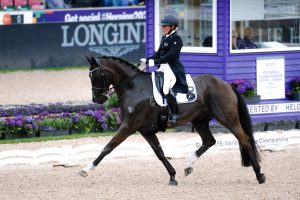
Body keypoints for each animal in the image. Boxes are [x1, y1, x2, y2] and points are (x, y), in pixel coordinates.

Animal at [79, 55, 264, 185]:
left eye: (97, 76)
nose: (97, 99)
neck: (133, 87)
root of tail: (226, 84)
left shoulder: (129, 126)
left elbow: (107, 148)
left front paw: (86, 170)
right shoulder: (145, 130)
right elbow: (159, 153)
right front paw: (173, 176)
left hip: (228, 119)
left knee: (245, 140)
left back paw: (260, 175)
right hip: (200, 121)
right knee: (209, 141)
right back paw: (188, 166)